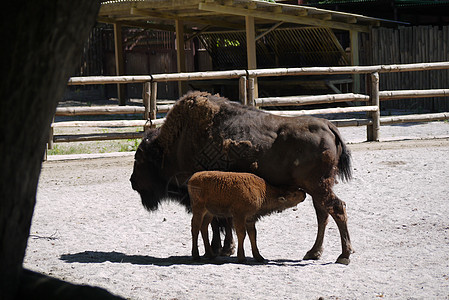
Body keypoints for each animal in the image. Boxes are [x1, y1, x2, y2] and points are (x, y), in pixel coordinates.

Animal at [130, 90, 354, 264]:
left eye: (139, 160)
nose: (133, 182)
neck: (173, 146)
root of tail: (328, 126)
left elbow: (218, 222)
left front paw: (220, 249)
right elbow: (223, 221)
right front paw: (224, 249)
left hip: (317, 186)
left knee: (336, 208)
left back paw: (343, 255)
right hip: (318, 188)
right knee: (323, 213)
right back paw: (313, 253)